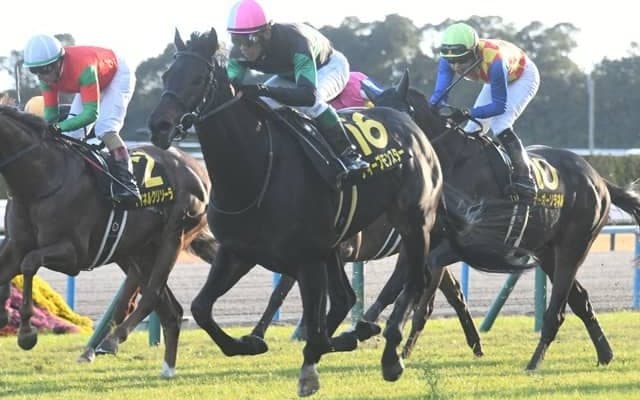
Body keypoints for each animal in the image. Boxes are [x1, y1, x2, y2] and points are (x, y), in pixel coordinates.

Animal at [0, 105, 217, 378]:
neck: (41, 180)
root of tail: (196, 167)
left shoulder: (74, 253)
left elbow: (29, 263)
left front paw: (26, 334)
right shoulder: (16, 244)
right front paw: (4, 315)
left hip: (173, 238)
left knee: (152, 296)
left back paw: (111, 341)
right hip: (139, 252)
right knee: (171, 311)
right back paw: (165, 368)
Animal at [148, 28, 442, 396]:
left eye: (198, 79)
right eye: (166, 76)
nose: (159, 126)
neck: (254, 169)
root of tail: (408, 123)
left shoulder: (307, 258)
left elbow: (314, 325)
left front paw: (309, 369)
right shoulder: (238, 251)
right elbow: (202, 308)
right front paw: (250, 343)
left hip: (414, 222)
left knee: (414, 280)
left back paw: (390, 355)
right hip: (336, 246)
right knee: (345, 299)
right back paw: (356, 334)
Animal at [365, 71, 640, 371]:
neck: (454, 164)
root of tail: (598, 178)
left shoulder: (476, 242)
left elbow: (423, 280)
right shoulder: (419, 239)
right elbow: (396, 283)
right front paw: (369, 329)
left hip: (574, 247)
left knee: (556, 312)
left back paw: (534, 362)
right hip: (547, 252)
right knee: (581, 300)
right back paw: (604, 354)